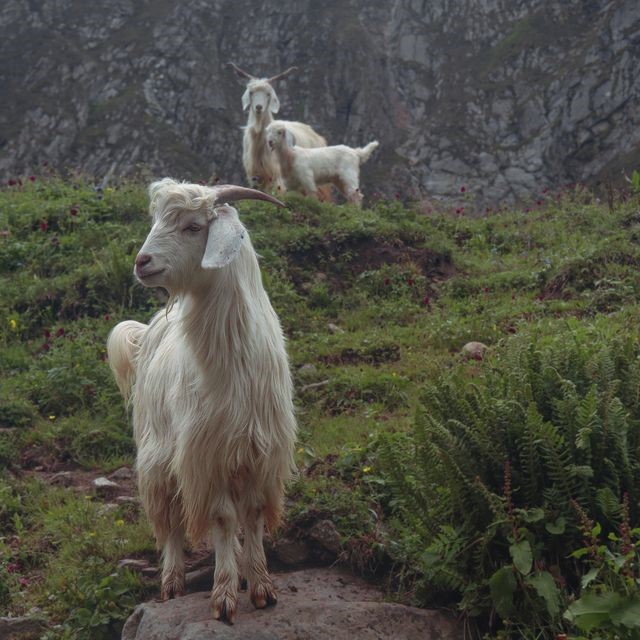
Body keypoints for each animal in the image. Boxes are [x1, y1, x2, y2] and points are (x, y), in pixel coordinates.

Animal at [107, 179, 297, 623]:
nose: (142, 262)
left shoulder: (259, 451)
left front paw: (260, 585)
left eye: (194, 226)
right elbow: (223, 518)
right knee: (170, 521)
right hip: (158, 454)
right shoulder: (206, 453)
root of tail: (151, 329)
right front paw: (224, 596)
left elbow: (253, 515)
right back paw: (173, 582)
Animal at [228, 62, 328, 196]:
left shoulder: (277, 176)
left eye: (268, 94)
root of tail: (318, 137)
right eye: (251, 92)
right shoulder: (255, 176)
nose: (258, 107)